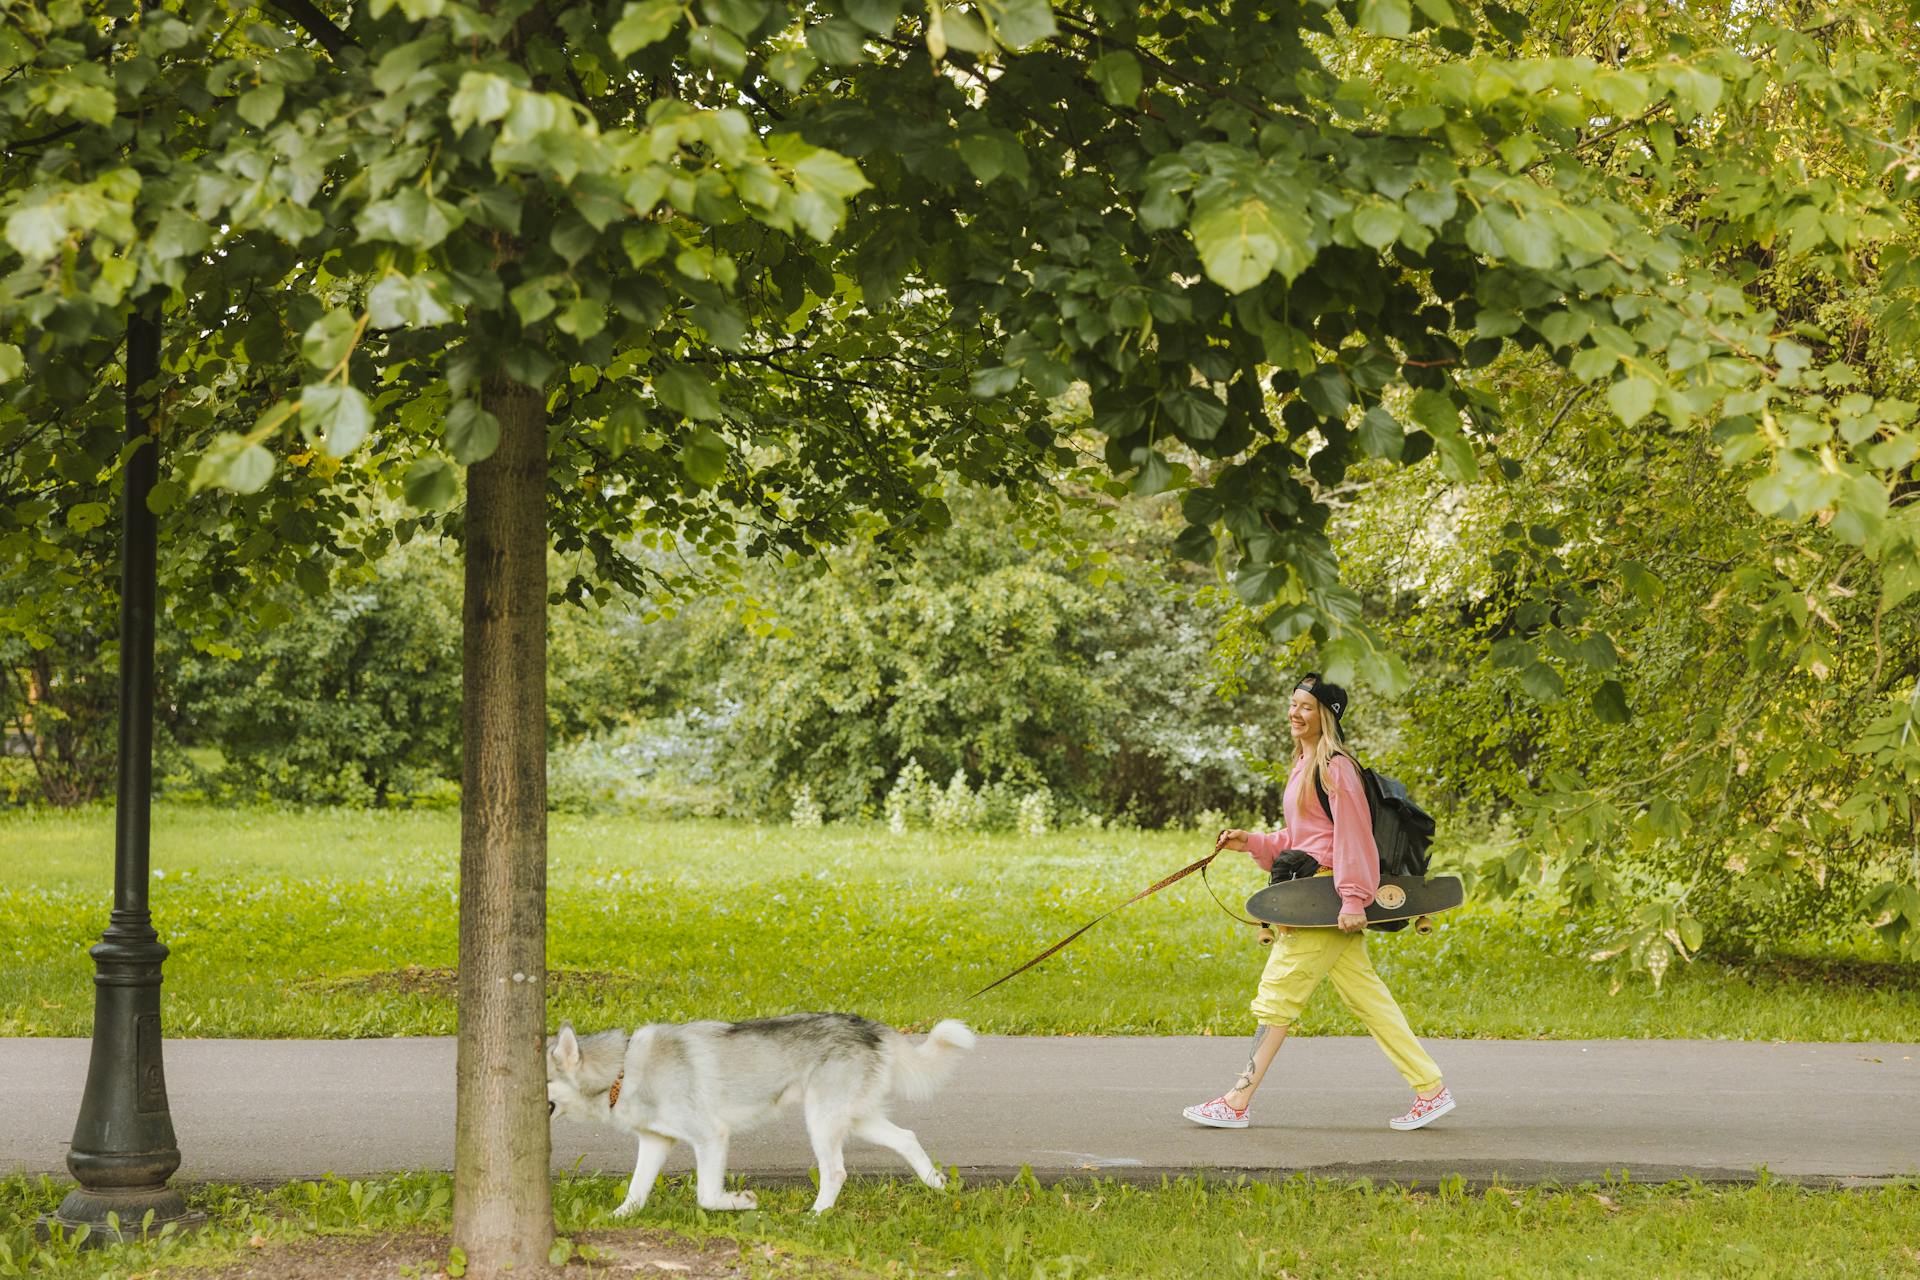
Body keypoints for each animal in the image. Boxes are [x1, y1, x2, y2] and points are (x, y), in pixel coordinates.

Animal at [552, 1013, 975, 1220]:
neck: (622, 1071)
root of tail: (869, 1026)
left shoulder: (711, 1137)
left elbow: (708, 1196)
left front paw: (742, 1202)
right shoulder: (656, 1142)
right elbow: (635, 1192)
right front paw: (616, 1218)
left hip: (821, 1122)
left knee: (835, 1172)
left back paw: (816, 1216)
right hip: (856, 1120)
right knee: (907, 1137)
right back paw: (938, 1186)